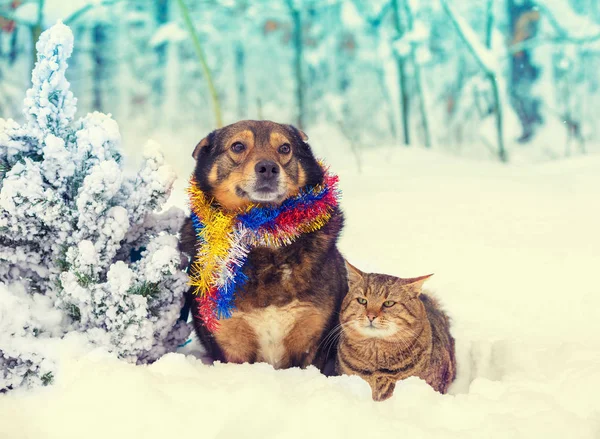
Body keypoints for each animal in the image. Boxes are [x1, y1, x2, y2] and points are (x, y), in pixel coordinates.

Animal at [178, 120, 346, 372]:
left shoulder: (310, 340)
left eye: (285, 148)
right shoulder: (231, 343)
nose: (268, 167)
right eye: (237, 146)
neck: (263, 235)